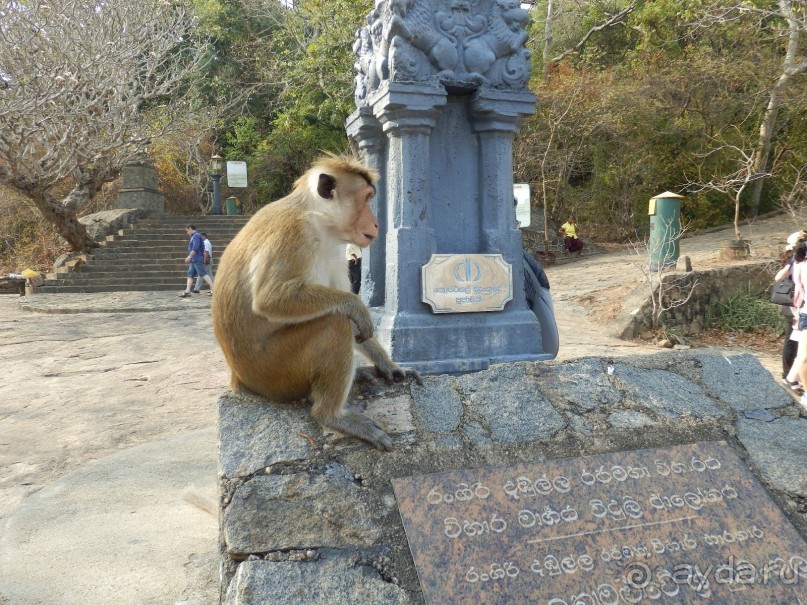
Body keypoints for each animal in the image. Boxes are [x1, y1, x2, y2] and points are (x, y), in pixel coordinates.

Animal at [211, 153, 420, 450]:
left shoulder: (337, 251)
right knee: (334, 325)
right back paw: (332, 416)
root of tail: (240, 379)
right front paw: (357, 307)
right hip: (276, 373)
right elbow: (271, 299)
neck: (318, 220)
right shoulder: (295, 234)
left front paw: (389, 366)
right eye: (367, 198)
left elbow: (351, 318)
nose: (377, 223)